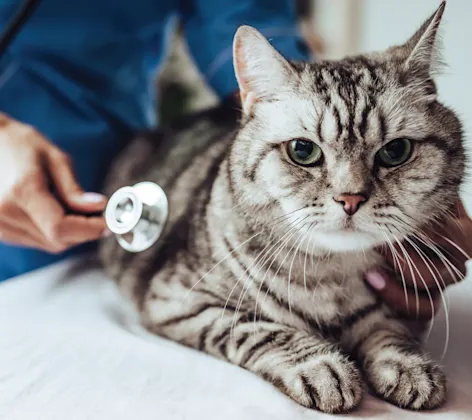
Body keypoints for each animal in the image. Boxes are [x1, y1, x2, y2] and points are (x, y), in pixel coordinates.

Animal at [99, 0, 464, 414]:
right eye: (302, 151)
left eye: (396, 151)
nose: (351, 198)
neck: (329, 276)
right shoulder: (179, 300)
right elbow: (263, 330)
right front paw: (323, 367)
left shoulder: (398, 309)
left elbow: (390, 331)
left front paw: (408, 366)